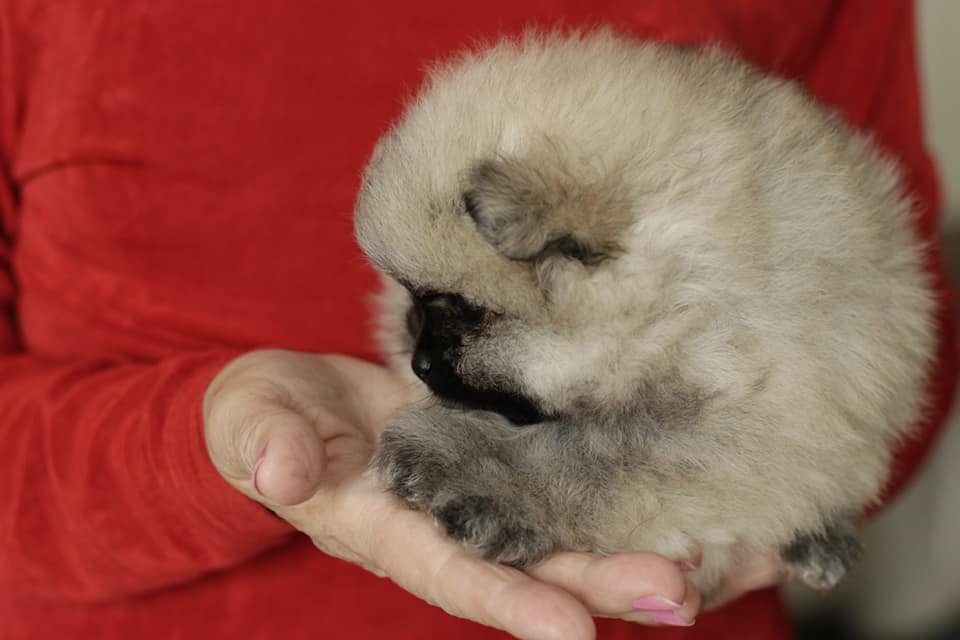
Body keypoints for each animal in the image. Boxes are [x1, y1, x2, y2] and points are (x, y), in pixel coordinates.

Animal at [350, 30, 928, 600]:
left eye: (470, 311)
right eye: (416, 299)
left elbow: (584, 462)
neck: (680, 302)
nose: (419, 362)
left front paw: (471, 476)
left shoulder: (732, 433)